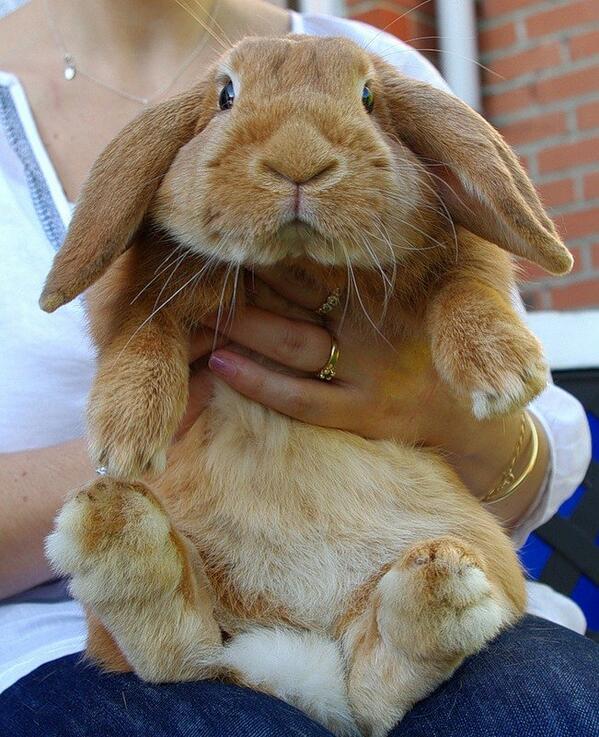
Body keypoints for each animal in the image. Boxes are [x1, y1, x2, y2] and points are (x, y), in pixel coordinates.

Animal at [41, 34, 572, 737]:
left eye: (369, 97)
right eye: (225, 95)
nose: (299, 161)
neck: (297, 260)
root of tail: (299, 661)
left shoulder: (466, 256)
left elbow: (470, 288)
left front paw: (507, 375)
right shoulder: (135, 296)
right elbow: (140, 334)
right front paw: (124, 438)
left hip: (483, 551)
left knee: (378, 686)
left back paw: (434, 596)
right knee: (179, 657)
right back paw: (117, 533)